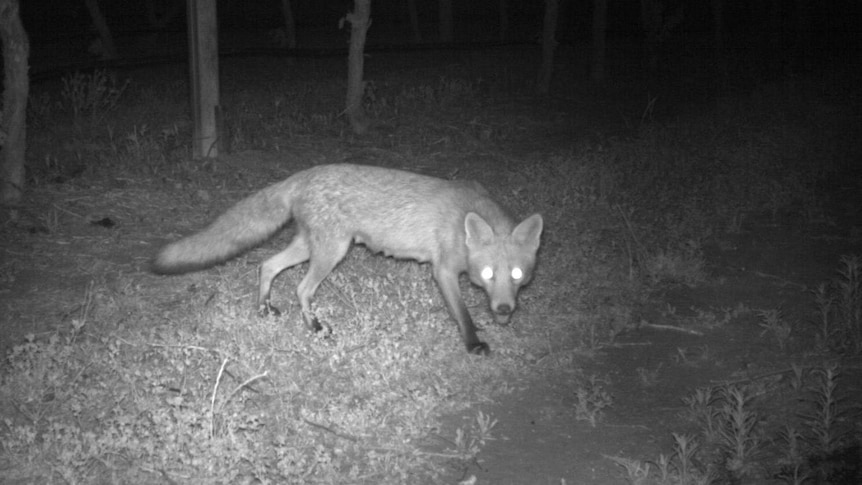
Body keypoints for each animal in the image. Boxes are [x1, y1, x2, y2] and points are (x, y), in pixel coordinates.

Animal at [152, 162, 544, 352]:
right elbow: (463, 315)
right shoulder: (444, 270)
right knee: (301, 289)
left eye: (517, 275)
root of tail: (303, 175)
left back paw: (265, 308)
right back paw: (314, 328)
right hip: (332, 250)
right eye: (488, 274)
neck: (465, 219)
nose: (504, 309)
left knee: (267, 265)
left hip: (309, 246)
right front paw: (474, 344)